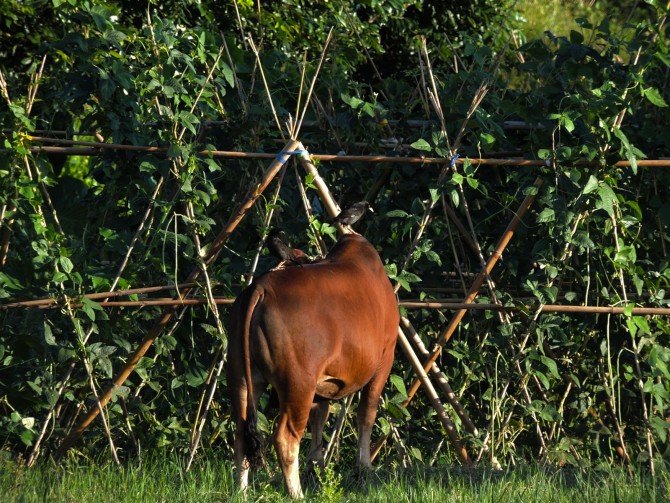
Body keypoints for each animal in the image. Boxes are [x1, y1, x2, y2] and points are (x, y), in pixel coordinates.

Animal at [228, 233, 402, 500]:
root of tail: (261, 288)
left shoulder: (324, 382)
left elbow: (319, 418)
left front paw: (316, 469)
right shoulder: (385, 358)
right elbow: (366, 414)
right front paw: (364, 470)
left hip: (242, 378)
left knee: (240, 434)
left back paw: (242, 490)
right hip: (298, 383)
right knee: (285, 438)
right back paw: (297, 494)